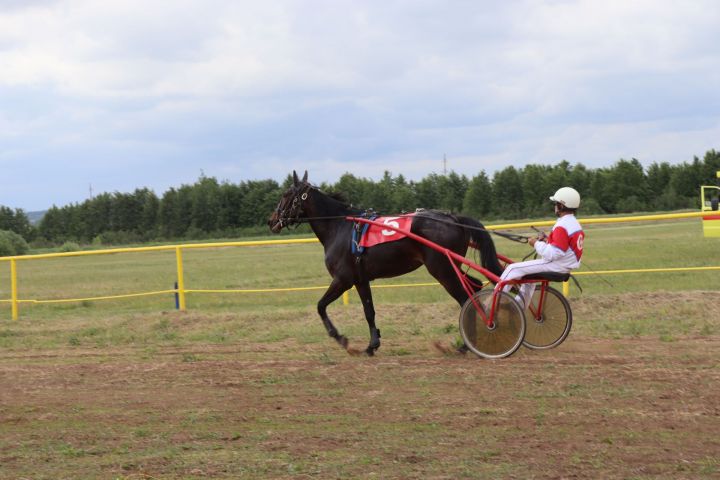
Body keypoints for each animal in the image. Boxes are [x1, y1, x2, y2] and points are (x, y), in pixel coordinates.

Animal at [268, 171, 504, 354]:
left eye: (286, 195)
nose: (272, 221)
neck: (340, 227)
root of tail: (454, 218)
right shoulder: (360, 279)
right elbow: (368, 311)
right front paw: (372, 345)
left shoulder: (343, 279)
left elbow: (320, 306)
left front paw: (341, 338)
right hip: (450, 265)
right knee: (474, 286)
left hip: (442, 269)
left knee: (465, 297)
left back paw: (465, 345)